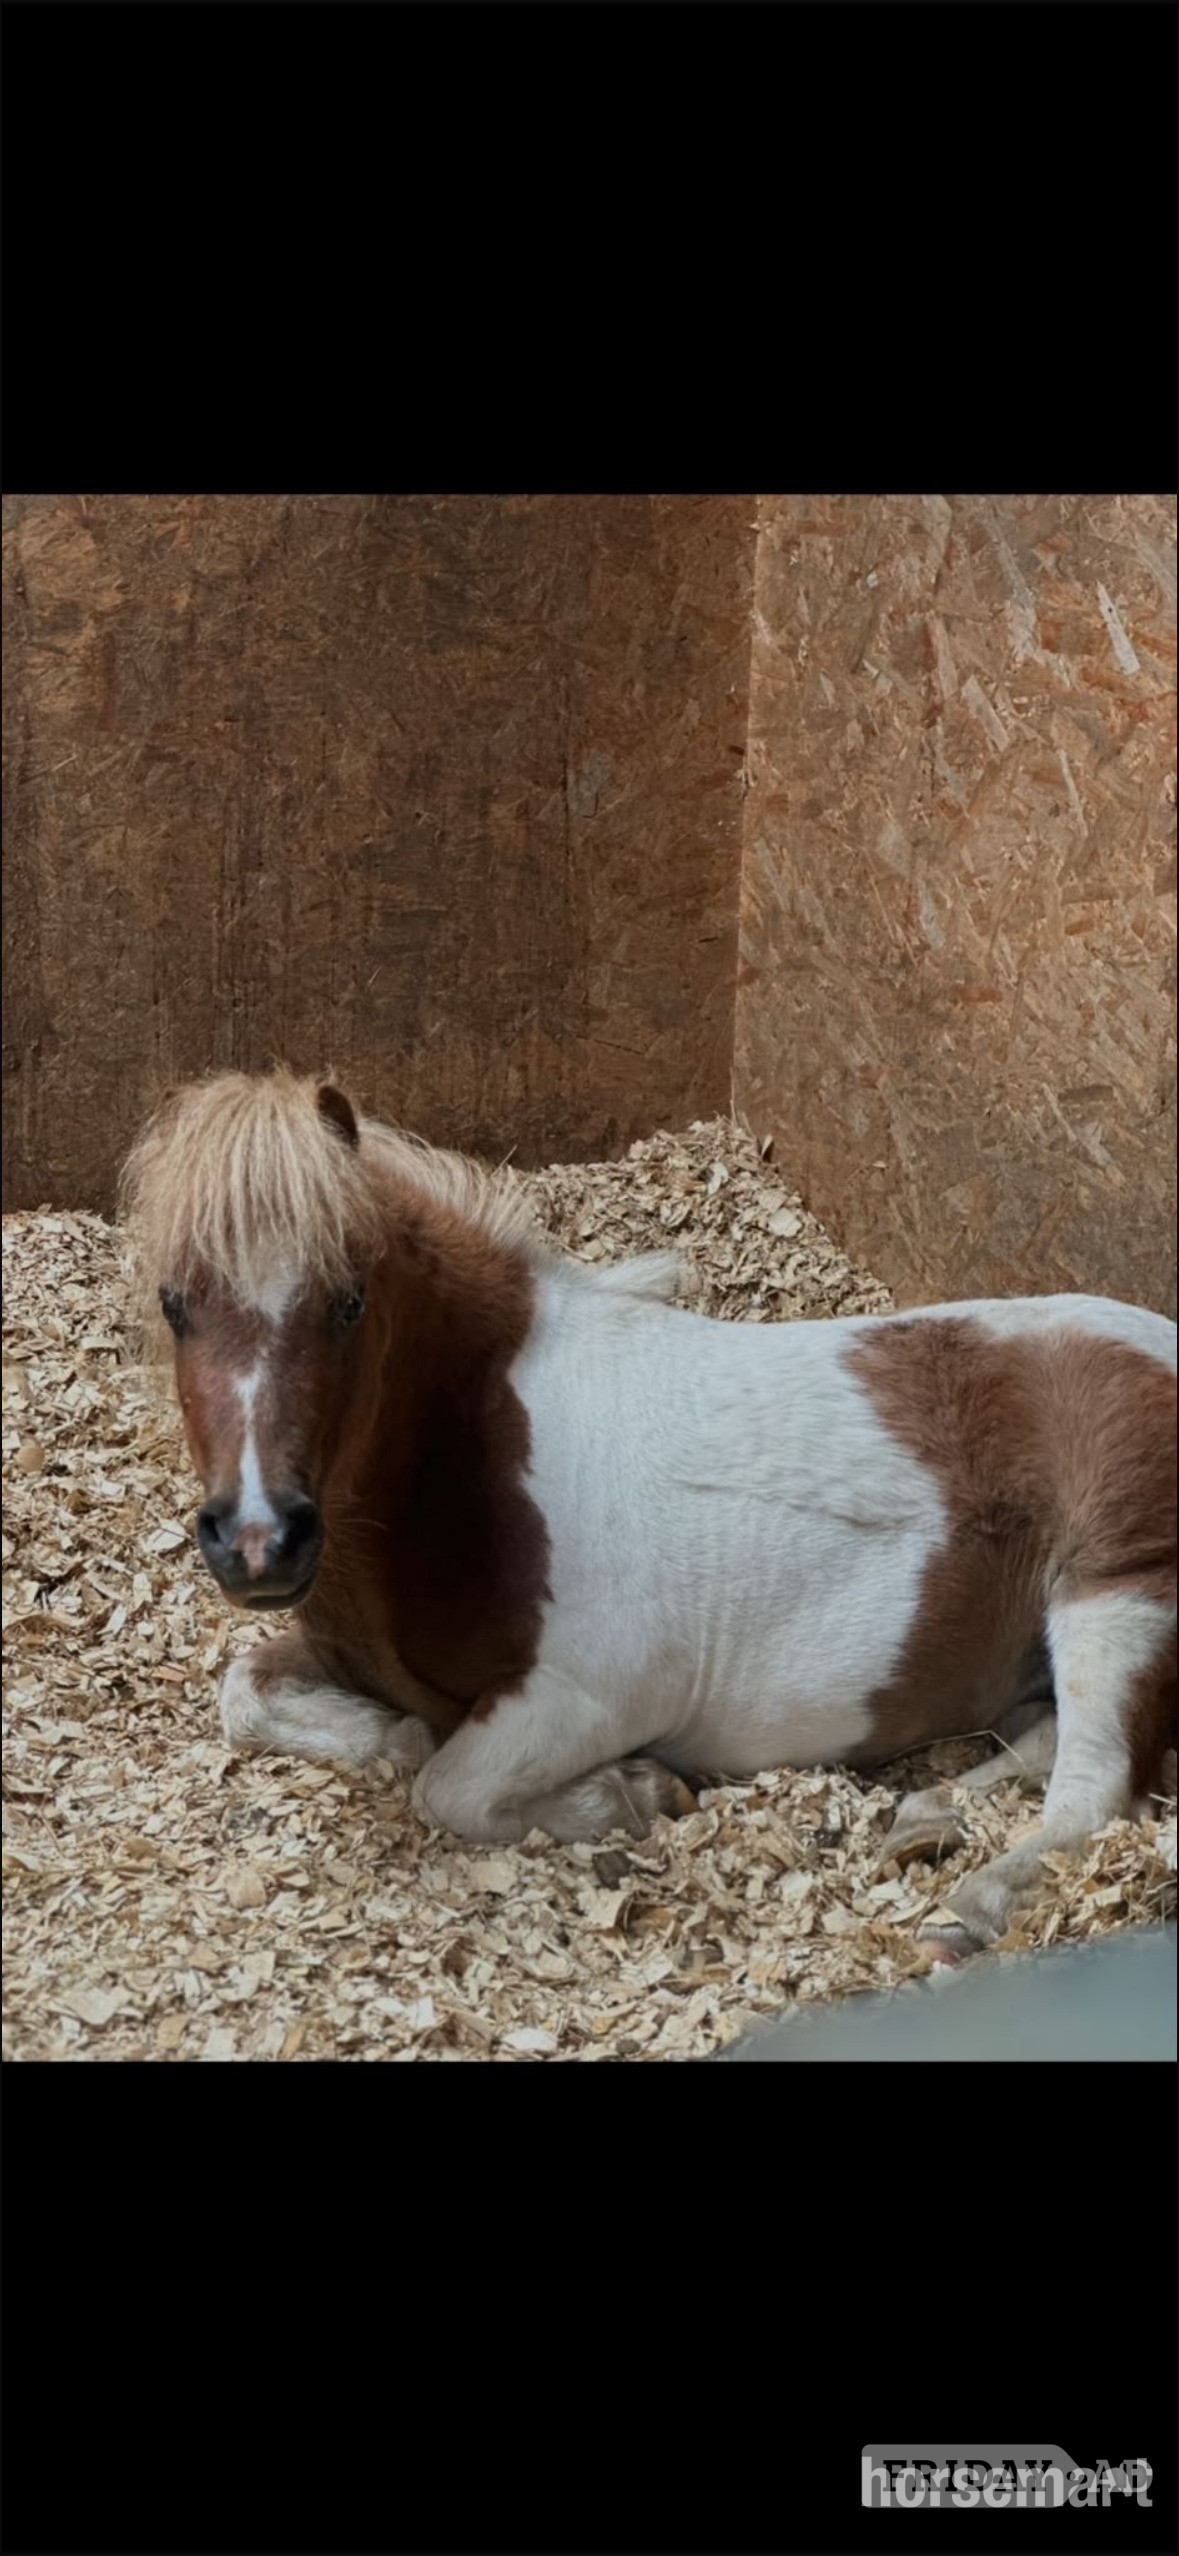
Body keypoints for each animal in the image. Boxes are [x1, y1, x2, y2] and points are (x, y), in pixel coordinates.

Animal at [122, 1068, 1177, 1956]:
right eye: (175, 1303)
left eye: (347, 1303)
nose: (259, 1544)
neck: (477, 1469)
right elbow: (250, 1697)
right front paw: (390, 1737)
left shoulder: (591, 1696)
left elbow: (448, 1786)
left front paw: (633, 1793)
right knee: (1045, 1739)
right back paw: (926, 1818)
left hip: (1114, 1600)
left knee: (1093, 1791)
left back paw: (967, 1905)